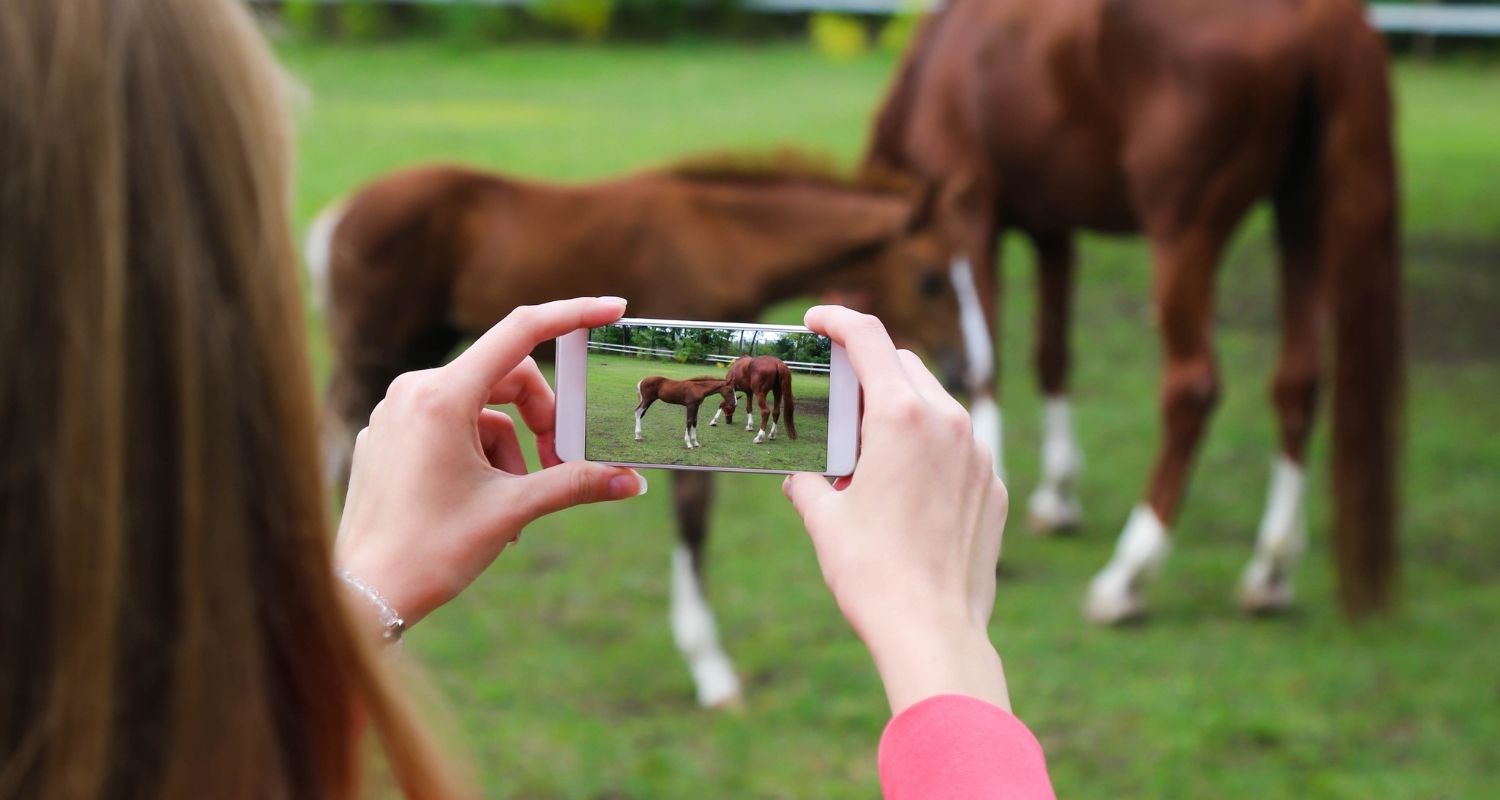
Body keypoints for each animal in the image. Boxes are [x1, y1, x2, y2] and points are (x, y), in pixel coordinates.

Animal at [307, 150, 972, 705]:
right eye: (930, 278)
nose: (967, 369)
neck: (722, 235)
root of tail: (337, 217)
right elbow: (693, 512)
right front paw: (711, 668)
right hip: (375, 351)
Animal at [876, 0, 1398, 621]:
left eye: (928, 281)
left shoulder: (973, 218)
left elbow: (989, 359)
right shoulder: (1053, 230)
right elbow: (1051, 355)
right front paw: (1058, 497)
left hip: (1183, 230)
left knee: (1192, 389)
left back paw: (1128, 575)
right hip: (1302, 218)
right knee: (1299, 382)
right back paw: (1269, 571)